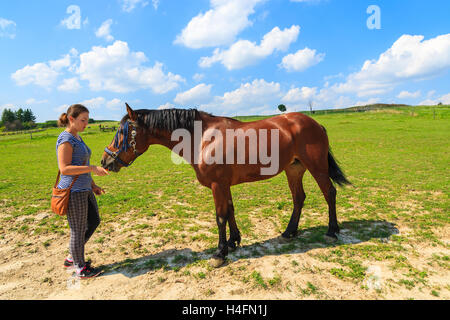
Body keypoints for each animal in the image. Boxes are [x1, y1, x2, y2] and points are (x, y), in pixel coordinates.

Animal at [102, 104, 352, 268]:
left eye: (122, 132)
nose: (105, 161)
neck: (202, 138)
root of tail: (315, 123)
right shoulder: (224, 185)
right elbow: (230, 210)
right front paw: (233, 241)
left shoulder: (217, 185)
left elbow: (220, 216)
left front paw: (220, 253)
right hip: (294, 170)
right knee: (299, 198)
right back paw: (289, 232)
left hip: (317, 167)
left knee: (329, 193)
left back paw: (331, 231)